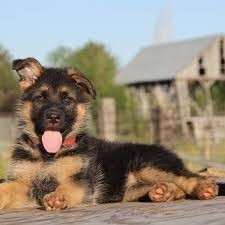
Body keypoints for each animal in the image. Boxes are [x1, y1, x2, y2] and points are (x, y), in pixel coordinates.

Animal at [0, 57, 218, 209]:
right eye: (41, 98)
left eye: (67, 100)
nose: (53, 117)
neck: (48, 155)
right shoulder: (22, 183)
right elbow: (5, 189)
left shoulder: (80, 181)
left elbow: (67, 187)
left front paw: (57, 196)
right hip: (132, 189)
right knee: (176, 188)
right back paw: (164, 191)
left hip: (148, 164)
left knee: (186, 177)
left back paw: (203, 188)